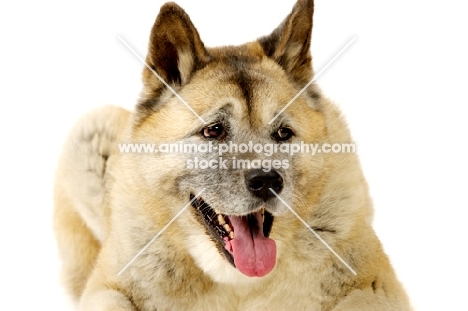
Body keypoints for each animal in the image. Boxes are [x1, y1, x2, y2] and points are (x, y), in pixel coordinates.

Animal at [54, 0, 410, 310]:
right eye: (213, 130)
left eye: (283, 133)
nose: (267, 181)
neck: (237, 284)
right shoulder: (106, 287)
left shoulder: (377, 286)